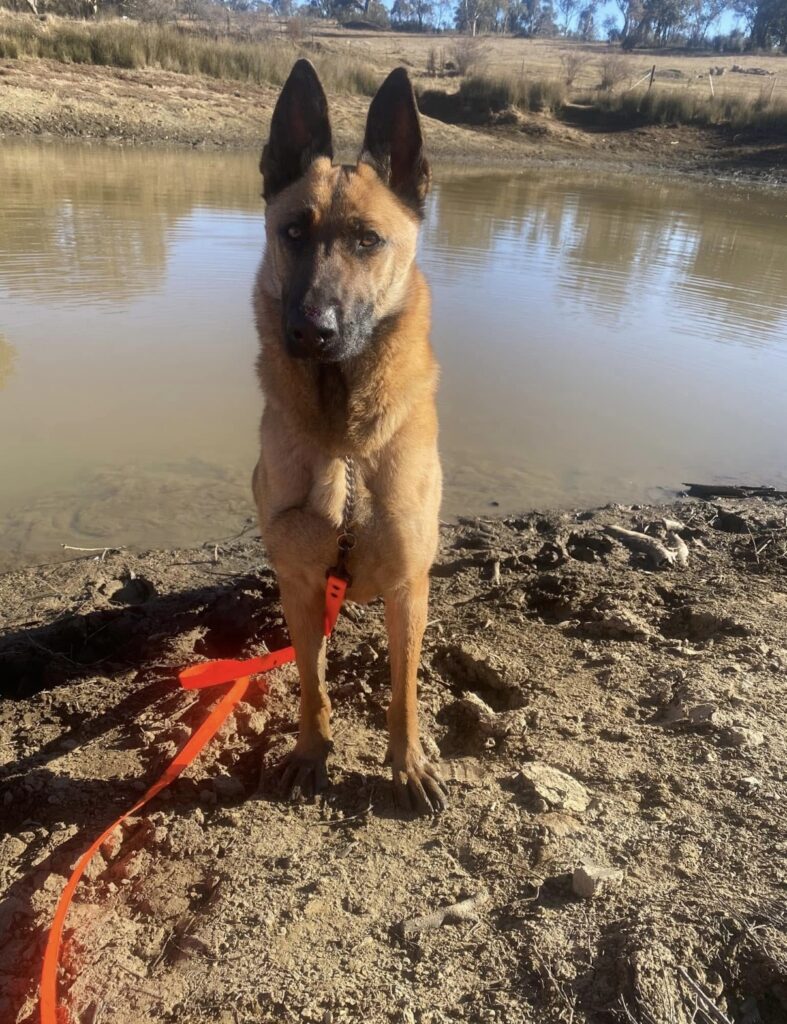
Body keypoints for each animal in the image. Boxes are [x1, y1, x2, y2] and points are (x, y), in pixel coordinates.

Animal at [251, 60, 447, 815]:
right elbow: (311, 682)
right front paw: (312, 752)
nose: (310, 331)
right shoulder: (303, 584)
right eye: (293, 232)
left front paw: (407, 764)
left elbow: (403, 692)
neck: (343, 441)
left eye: (368, 240)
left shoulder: (408, 588)